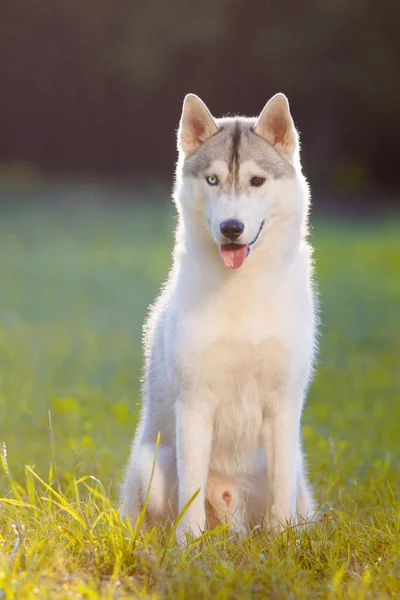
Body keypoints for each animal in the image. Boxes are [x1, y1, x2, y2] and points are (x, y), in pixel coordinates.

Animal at [122, 94, 316, 540]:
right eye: (212, 180)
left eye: (257, 181)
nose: (231, 228)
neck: (241, 289)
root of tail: (234, 521)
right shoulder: (195, 403)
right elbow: (191, 487)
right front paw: (188, 545)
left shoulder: (284, 404)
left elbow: (281, 489)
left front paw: (284, 540)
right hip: (151, 462)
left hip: (298, 475)